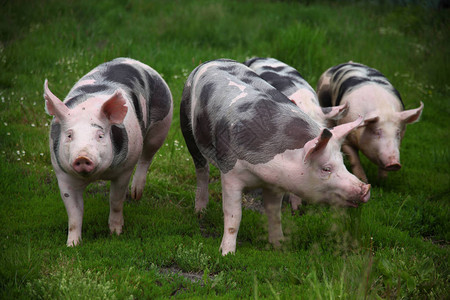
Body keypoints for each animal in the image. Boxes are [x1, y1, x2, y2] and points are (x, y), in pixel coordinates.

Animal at [44, 56, 173, 246]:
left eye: (100, 135)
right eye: (69, 135)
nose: (82, 156)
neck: (97, 176)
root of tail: (131, 60)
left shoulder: (125, 170)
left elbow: (116, 200)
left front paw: (116, 233)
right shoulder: (63, 175)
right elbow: (74, 213)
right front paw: (72, 245)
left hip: (161, 127)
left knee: (147, 157)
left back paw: (135, 194)